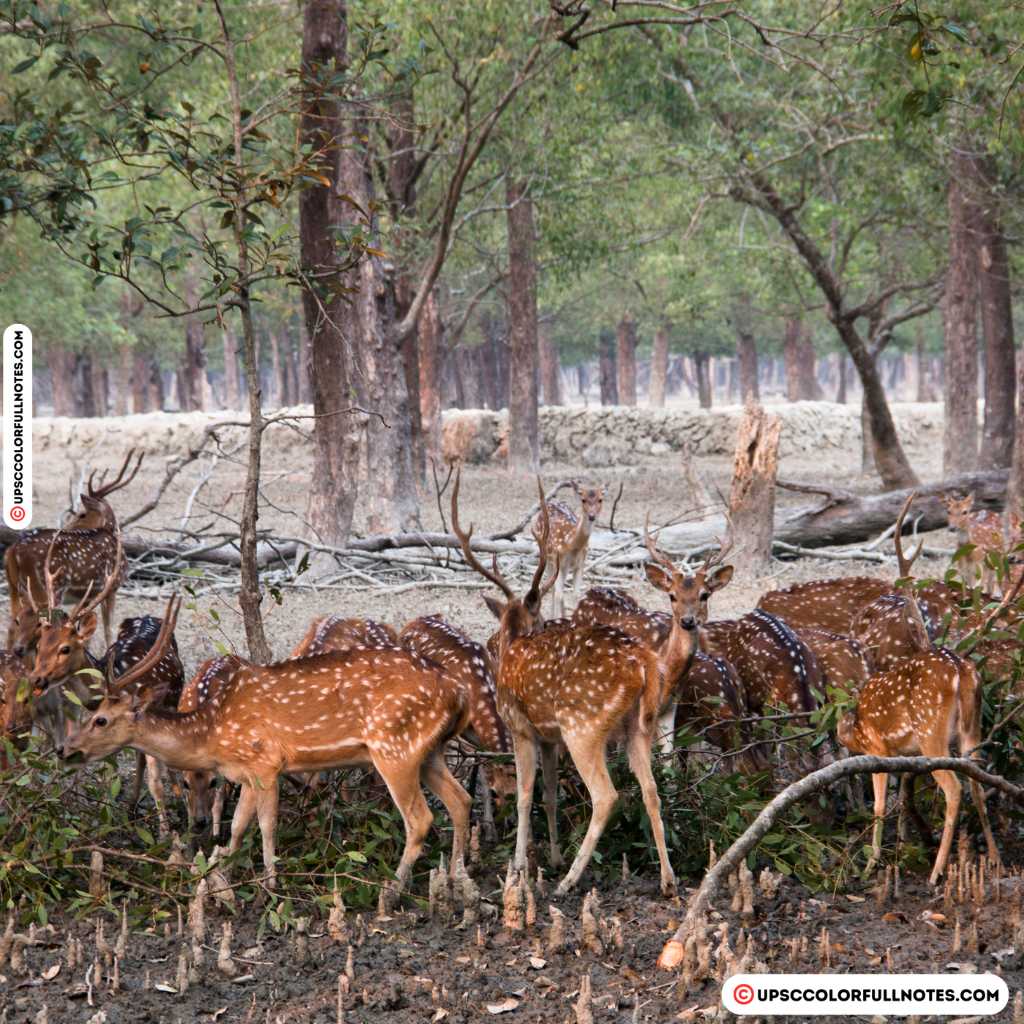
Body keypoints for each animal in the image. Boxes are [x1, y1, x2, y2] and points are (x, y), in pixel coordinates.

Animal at [5, 449, 142, 649]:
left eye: (82, 513)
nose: (64, 527)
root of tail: (13, 551)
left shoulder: (91, 595)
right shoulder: (112, 587)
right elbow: (108, 631)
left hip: (15, 587)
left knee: (12, 624)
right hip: (46, 588)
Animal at [60, 596, 473, 897]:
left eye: (100, 719)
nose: (65, 749)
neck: (212, 733)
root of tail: (458, 694)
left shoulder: (266, 762)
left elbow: (266, 825)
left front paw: (270, 885)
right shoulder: (244, 773)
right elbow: (238, 826)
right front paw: (220, 875)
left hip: (393, 747)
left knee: (421, 819)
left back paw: (394, 890)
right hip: (429, 751)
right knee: (461, 800)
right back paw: (456, 880)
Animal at [531, 481, 605, 618]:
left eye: (600, 499)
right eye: (583, 499)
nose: (592, 516)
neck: (571, 543)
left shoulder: (580, 564)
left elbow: (576, 595)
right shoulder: (557, 561)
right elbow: (559, 594)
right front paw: (556, 618)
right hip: (547, 555)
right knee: (551, 587)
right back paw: (552, 616)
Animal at [837, 493, 1000, 885]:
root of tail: (960, 670)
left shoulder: (879, 748)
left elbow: (882, 803)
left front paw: (872, 862)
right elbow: (902, 795)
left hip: (931, 731)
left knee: (955, 787)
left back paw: (936, 871)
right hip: (971, 728)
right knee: (978, 779)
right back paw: (994, 857)